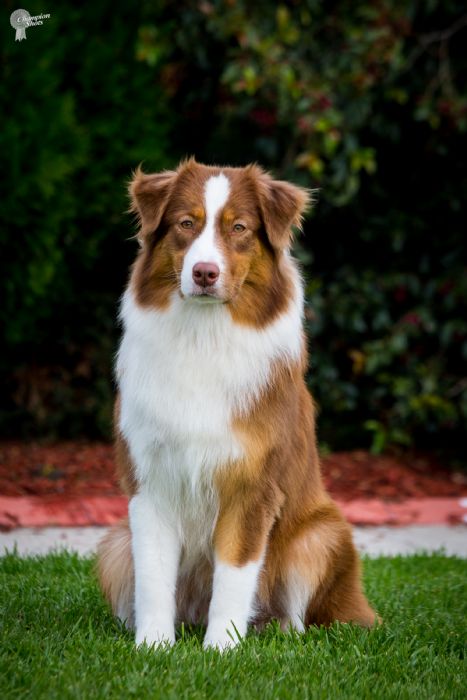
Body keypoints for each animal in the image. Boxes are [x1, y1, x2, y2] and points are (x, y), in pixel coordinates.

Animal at [97, 158, 377, 649]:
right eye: (186, 224)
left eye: (239, 228)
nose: (204, 272)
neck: (203, 336)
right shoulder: (149, 482)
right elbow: (153, 574)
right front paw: (153, 645)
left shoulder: (253, 484)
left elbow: (234, 572)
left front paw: (222, 648)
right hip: (115, 544)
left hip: (322, 534)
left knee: (302, 615)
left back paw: (274, 629)